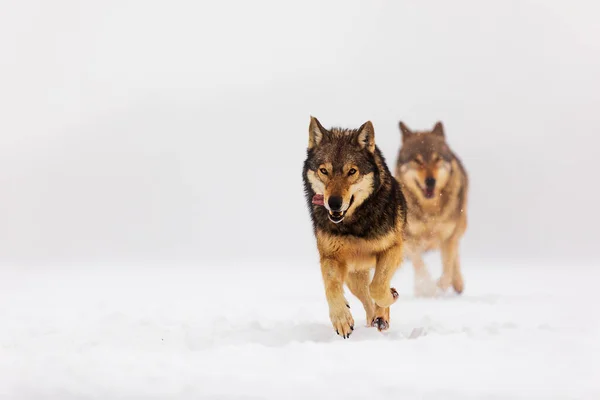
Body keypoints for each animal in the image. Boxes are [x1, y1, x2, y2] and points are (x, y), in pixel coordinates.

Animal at [300, 116, 408, 338]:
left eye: (352, 171)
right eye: (324, 171)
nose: (334, 203)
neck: (354, 225)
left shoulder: (392, 248)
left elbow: (379, 287)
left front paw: (391, 296)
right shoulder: (330, 257)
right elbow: (332, 288)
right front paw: (342, 319)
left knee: (374, 290)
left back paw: (382, 317)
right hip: (353, 276)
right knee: (366, 299)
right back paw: (374, 320)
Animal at [394, 120, 468, 296]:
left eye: (437, 159)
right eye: (417, 160)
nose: (430, 181)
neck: (430, 210)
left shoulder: (449, 236)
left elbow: (448, 265)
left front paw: (441, 285)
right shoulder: (409, 238)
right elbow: (419, 265)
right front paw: (427, 288)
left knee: (455, 256)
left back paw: (457, 283)